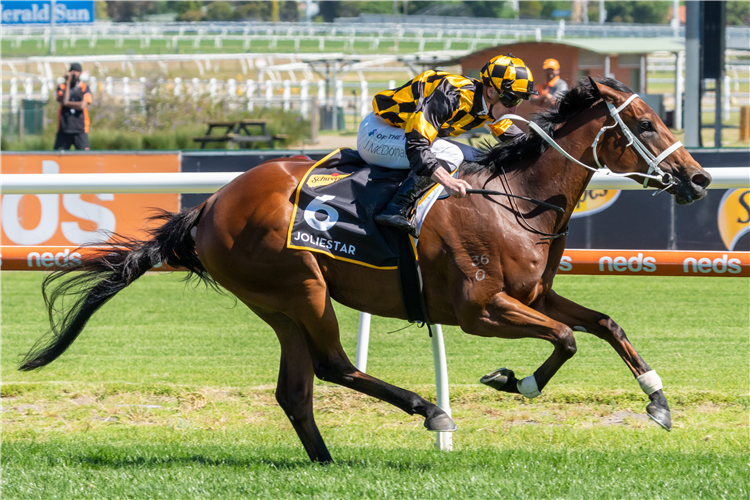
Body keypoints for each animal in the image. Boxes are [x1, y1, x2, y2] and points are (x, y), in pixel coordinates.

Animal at [19, 78, 712, 460]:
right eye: (645, 123)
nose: (701, 178)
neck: (512, 198)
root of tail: (211, 204)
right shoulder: (479, 310)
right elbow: (566, 339)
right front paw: (512, 381)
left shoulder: (533, 294)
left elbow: (603, 323)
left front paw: (658, 402)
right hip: (300, 288)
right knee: (332, 366)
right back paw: (428, 410)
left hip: (279, 304)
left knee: (296, 390)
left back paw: (326, 460)